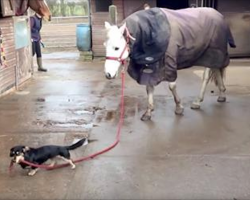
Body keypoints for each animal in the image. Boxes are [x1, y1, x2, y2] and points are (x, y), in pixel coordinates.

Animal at [103, 7, 236, 120]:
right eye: (105, 46)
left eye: (117, 48)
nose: (108, 74)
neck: (151, 32)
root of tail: (219, 15)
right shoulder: (151, 65)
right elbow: (149, 86)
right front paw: (148, 112)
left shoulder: (169, 63)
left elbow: (172, 86)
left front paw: (179, 108)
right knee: (217, 69)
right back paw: (222, 95)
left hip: (211, 53)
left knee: (207, 75)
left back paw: (198, 102)